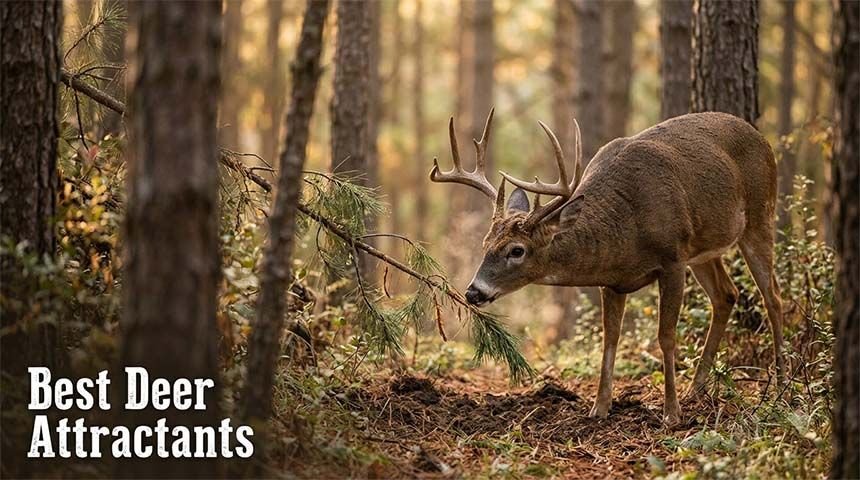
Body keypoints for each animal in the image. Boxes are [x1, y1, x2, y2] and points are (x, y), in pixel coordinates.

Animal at [430, 108, 786, 426]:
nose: (473, 292)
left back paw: (782, 385)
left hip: (760, 213)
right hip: (703, 249)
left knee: (773, 297)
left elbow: (666, 336)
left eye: (517, 250)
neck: (626, 231)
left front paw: (671, 414)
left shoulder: (673, 259)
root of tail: (761, 137)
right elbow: (610, 338)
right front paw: (600, 408)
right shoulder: (613, 281)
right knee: (726, 294)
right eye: (485, 244)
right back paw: (696, 388)